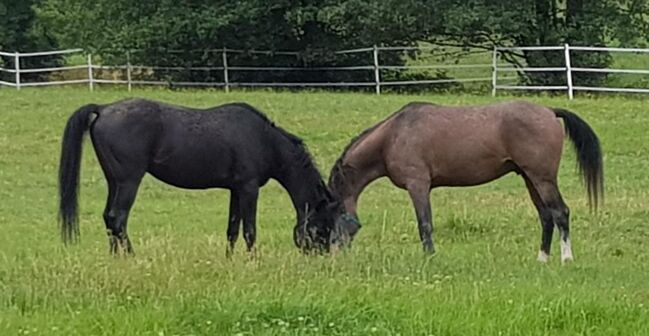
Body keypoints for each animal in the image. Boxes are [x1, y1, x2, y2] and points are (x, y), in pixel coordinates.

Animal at [58, 98, 346, 256]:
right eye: (322, 226)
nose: (320, 256)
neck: (265, 141)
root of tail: (104, 108)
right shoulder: (249, 188)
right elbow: (250, 231)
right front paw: (254, 261)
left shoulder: (235, 189)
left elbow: (232, 230)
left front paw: (230, 260)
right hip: (129, 181)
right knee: (118, 218)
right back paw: (131, 256)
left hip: (114, 181)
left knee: (109, 218)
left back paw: (115, 257)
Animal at [330, 100, 604, 262]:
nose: (333, 253)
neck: (393, 135)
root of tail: (549, 112)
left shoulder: (418, 185)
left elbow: (424, 224)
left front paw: (430, 258)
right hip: (530, 178)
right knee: (546, 217)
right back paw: (542, 259)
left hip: (542, 178)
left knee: (560, 213)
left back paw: (566, 259)